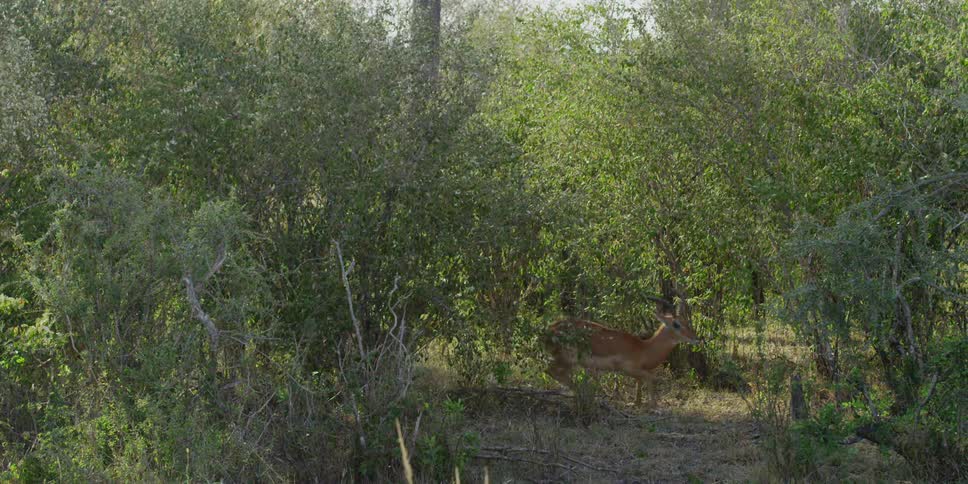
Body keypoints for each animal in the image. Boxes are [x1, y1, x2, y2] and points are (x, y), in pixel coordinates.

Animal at [544, 307, 699, 405]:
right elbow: (650, 377)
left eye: (686, 321)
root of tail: (550, 328)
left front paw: (637, 402)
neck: (643, 349)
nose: (695, 338)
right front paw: (653, 405)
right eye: (676, 324)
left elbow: (640, 381)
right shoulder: (626, 368)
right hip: (567, 360)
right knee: (550, 371)